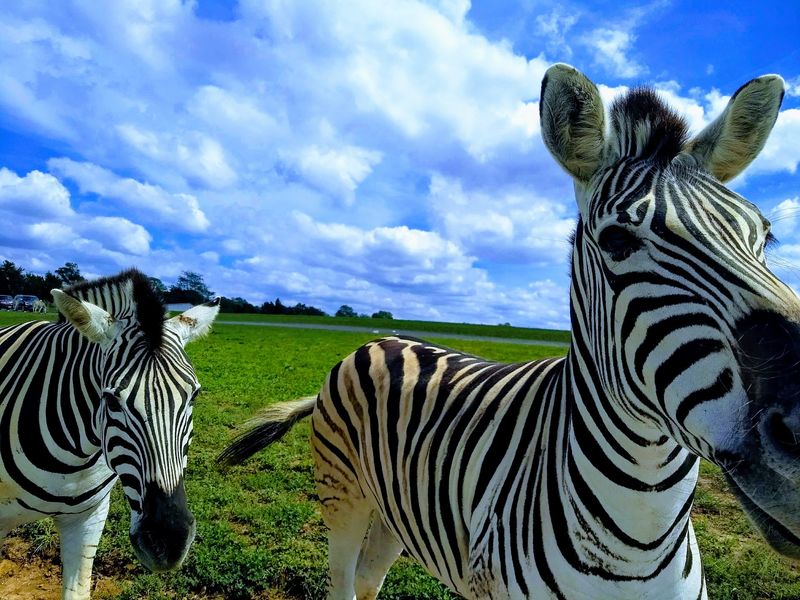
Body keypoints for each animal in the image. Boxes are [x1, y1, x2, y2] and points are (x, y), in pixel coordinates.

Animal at [219, 64, 795, 599]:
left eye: (765, 236)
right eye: (616, 241)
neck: (642, 535)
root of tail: (381, 340)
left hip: (396, 511)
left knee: (368, 578)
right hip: (344, 495)